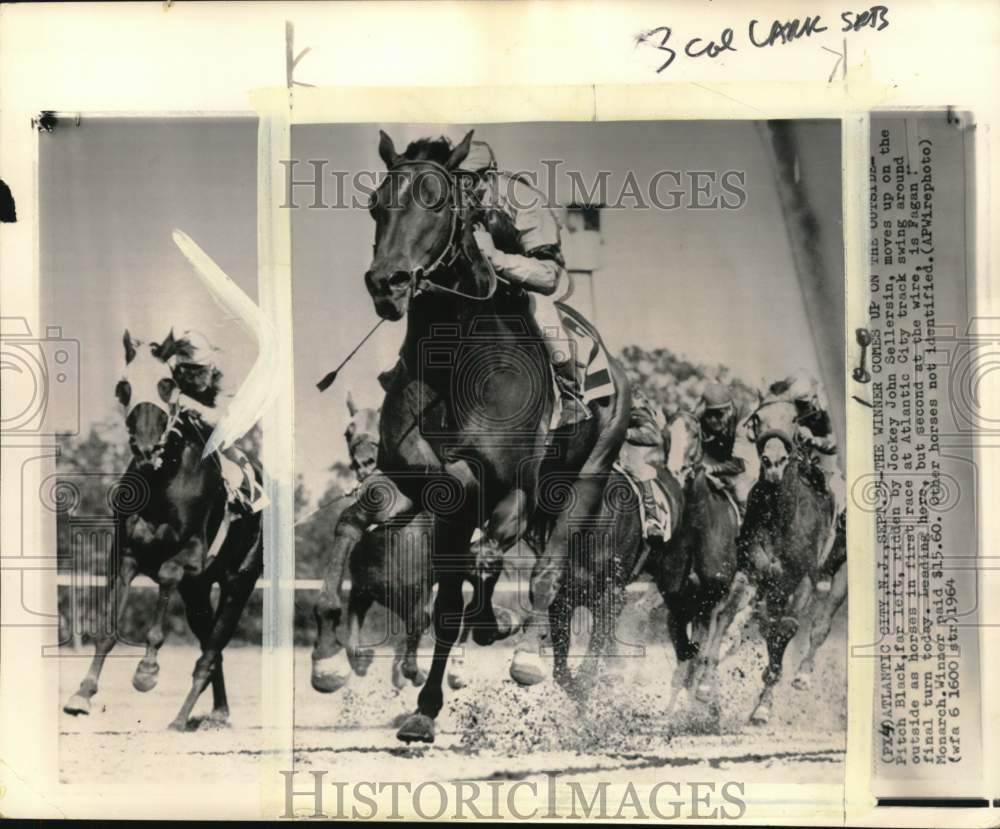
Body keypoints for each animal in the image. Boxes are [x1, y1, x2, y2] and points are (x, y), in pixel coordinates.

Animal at [61, 330, 266, 732]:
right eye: (122, 387)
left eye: (166, 384)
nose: (145, 447)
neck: (162, 484)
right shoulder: (126, 556)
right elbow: (107, 629)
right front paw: (82, 694)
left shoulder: (191, 556)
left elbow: (169, 574)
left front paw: (147, 670)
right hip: (197, 594)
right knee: (211, 651)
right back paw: (216, 712)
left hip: (238, 582)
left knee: (210, 652)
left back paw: (182, 718)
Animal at [356, 131, 628, 744]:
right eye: (376, 206)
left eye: (436, 203)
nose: (387, 283)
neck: (456, 356)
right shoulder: (426, 478)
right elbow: (448, 581)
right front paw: (425, 709)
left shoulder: (517, 485)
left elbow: (484, 547)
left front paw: (495, 620)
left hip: (590, 472)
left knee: (548, 577)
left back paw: (528, 654)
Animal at [744, 394, 836, 724]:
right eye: (757, 419)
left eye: (794, 419)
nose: (774, 462)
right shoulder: (764, 576)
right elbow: (766, 622)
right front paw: (764, 697)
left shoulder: (804, 577)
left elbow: (786, 627)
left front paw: (765, 702)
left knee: (821, 626)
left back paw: (803, 675)